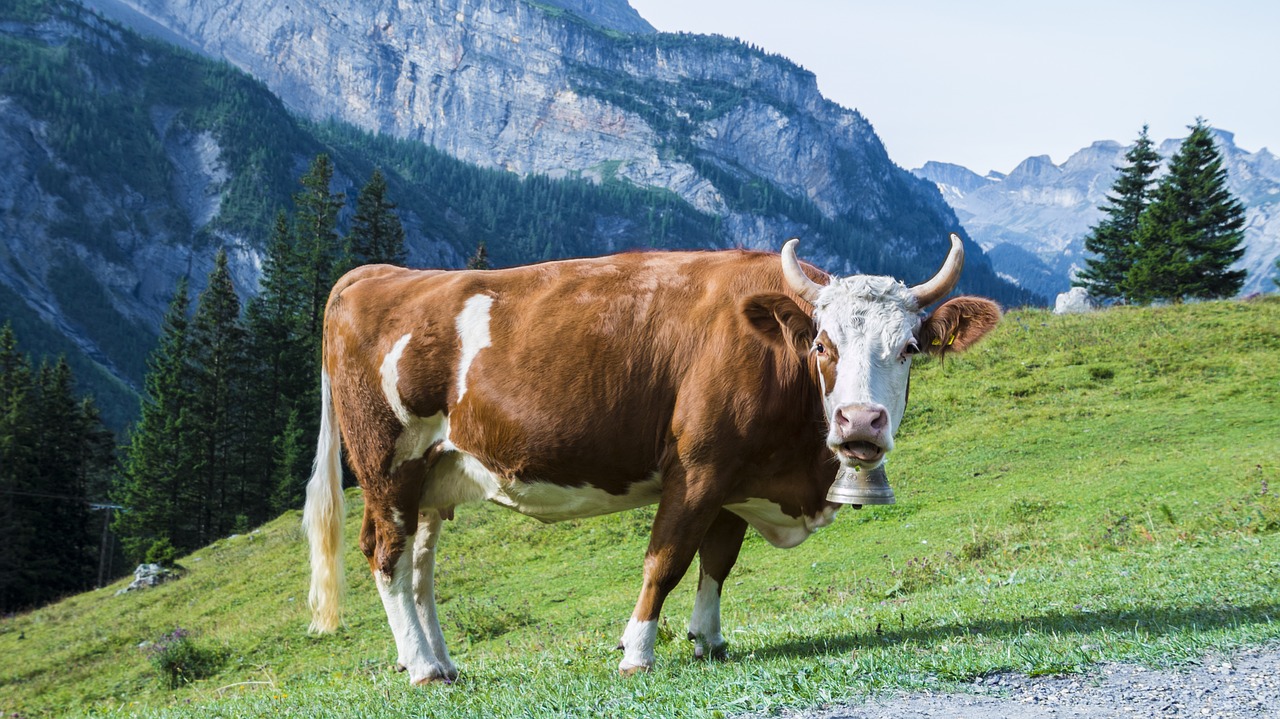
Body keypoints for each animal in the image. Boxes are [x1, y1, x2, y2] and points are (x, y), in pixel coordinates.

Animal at [299, 234, 998, 675]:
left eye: (909, 347)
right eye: (822, 344)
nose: (860, 421)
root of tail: (376, 274)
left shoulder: (735, 480)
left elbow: (718, 561)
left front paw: (709, 640)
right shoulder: (698, 468)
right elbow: (666, 559)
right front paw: (637, 652)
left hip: (435, 472)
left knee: (420, 566)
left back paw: (440, 661)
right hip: (388, 463)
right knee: (386, 555)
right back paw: (420, 667)